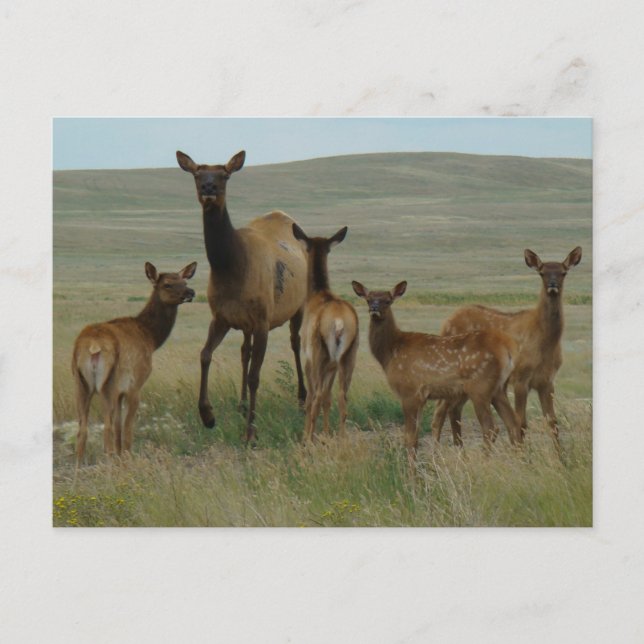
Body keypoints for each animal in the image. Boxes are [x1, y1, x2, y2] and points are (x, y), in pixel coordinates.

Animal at [72, 261, 197, 466]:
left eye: (184, 281)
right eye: (167, 284)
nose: (191, 292)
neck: (150, 338)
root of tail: (93, 346)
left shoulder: (120, 392)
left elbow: (119, 428)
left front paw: (121, 457)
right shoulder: (134, 385)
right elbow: (127, 428)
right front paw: (127, 459)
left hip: (80, 383)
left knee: (83, 429)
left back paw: (79, 467)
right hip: (108, 383)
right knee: (106, 428)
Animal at [176, 150, 308, 443]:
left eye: (224, 174)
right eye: (197, 174)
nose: (209, 188)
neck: (230, 268)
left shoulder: (262, 321)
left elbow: (255, 376)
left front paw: (251, 432)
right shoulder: (221, 316)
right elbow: (205, 355)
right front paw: (207, 415)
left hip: (299, 305)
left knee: (296, 342)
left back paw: (302, 399)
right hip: (246, 324)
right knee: (244, 351)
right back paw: (242, 404)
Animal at [291, 224, 359, 443]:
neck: (316, 294)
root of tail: (338, 323)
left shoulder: (309, 358)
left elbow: (312, 397)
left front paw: (309, 434)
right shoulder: (332, 365)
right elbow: (328, 399)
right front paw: (327, 433)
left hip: (319, 353)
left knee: (317, 396)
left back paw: (308, 439)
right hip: (348, 356)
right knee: (341, 396)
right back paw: (342, 437)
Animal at [352, 280, 521, 462]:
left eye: (387, 300)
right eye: (368, 299)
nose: (374, 308)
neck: (390, 353)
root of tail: (508, 348)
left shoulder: (410, 391)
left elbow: (409, 438)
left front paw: (412, 469)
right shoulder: (420, 397)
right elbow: (415, 437)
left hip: (480, 385)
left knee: (491, 427)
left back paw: (484, 461)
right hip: (499, 388)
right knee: (513, 423)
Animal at [431, 246, 582, 448]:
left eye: (563, 272)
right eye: (541, 272)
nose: (552, 285)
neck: (544, 343)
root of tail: (445, 324)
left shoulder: (548, 380)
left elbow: (552, 421)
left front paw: (561, 455)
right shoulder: (520, 377)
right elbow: (521, 422)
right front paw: (523, 453)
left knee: (453, 410)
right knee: (440, 410)